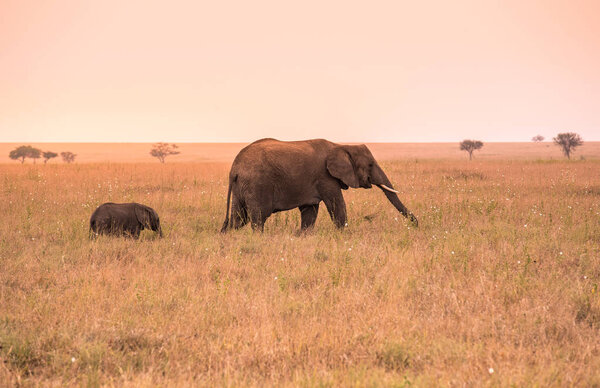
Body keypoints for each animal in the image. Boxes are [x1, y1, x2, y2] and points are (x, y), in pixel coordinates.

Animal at [220, 139, 418, 232]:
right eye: (370, 164)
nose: (416, 224)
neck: (341, 146)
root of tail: (234, 168)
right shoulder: (325, 177)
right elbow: (337, 206)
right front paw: (344, 236)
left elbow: (310, 211)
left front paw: (301, 236)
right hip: (257, 184)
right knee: (258, 217)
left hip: (242, 187)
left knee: (239, 218)